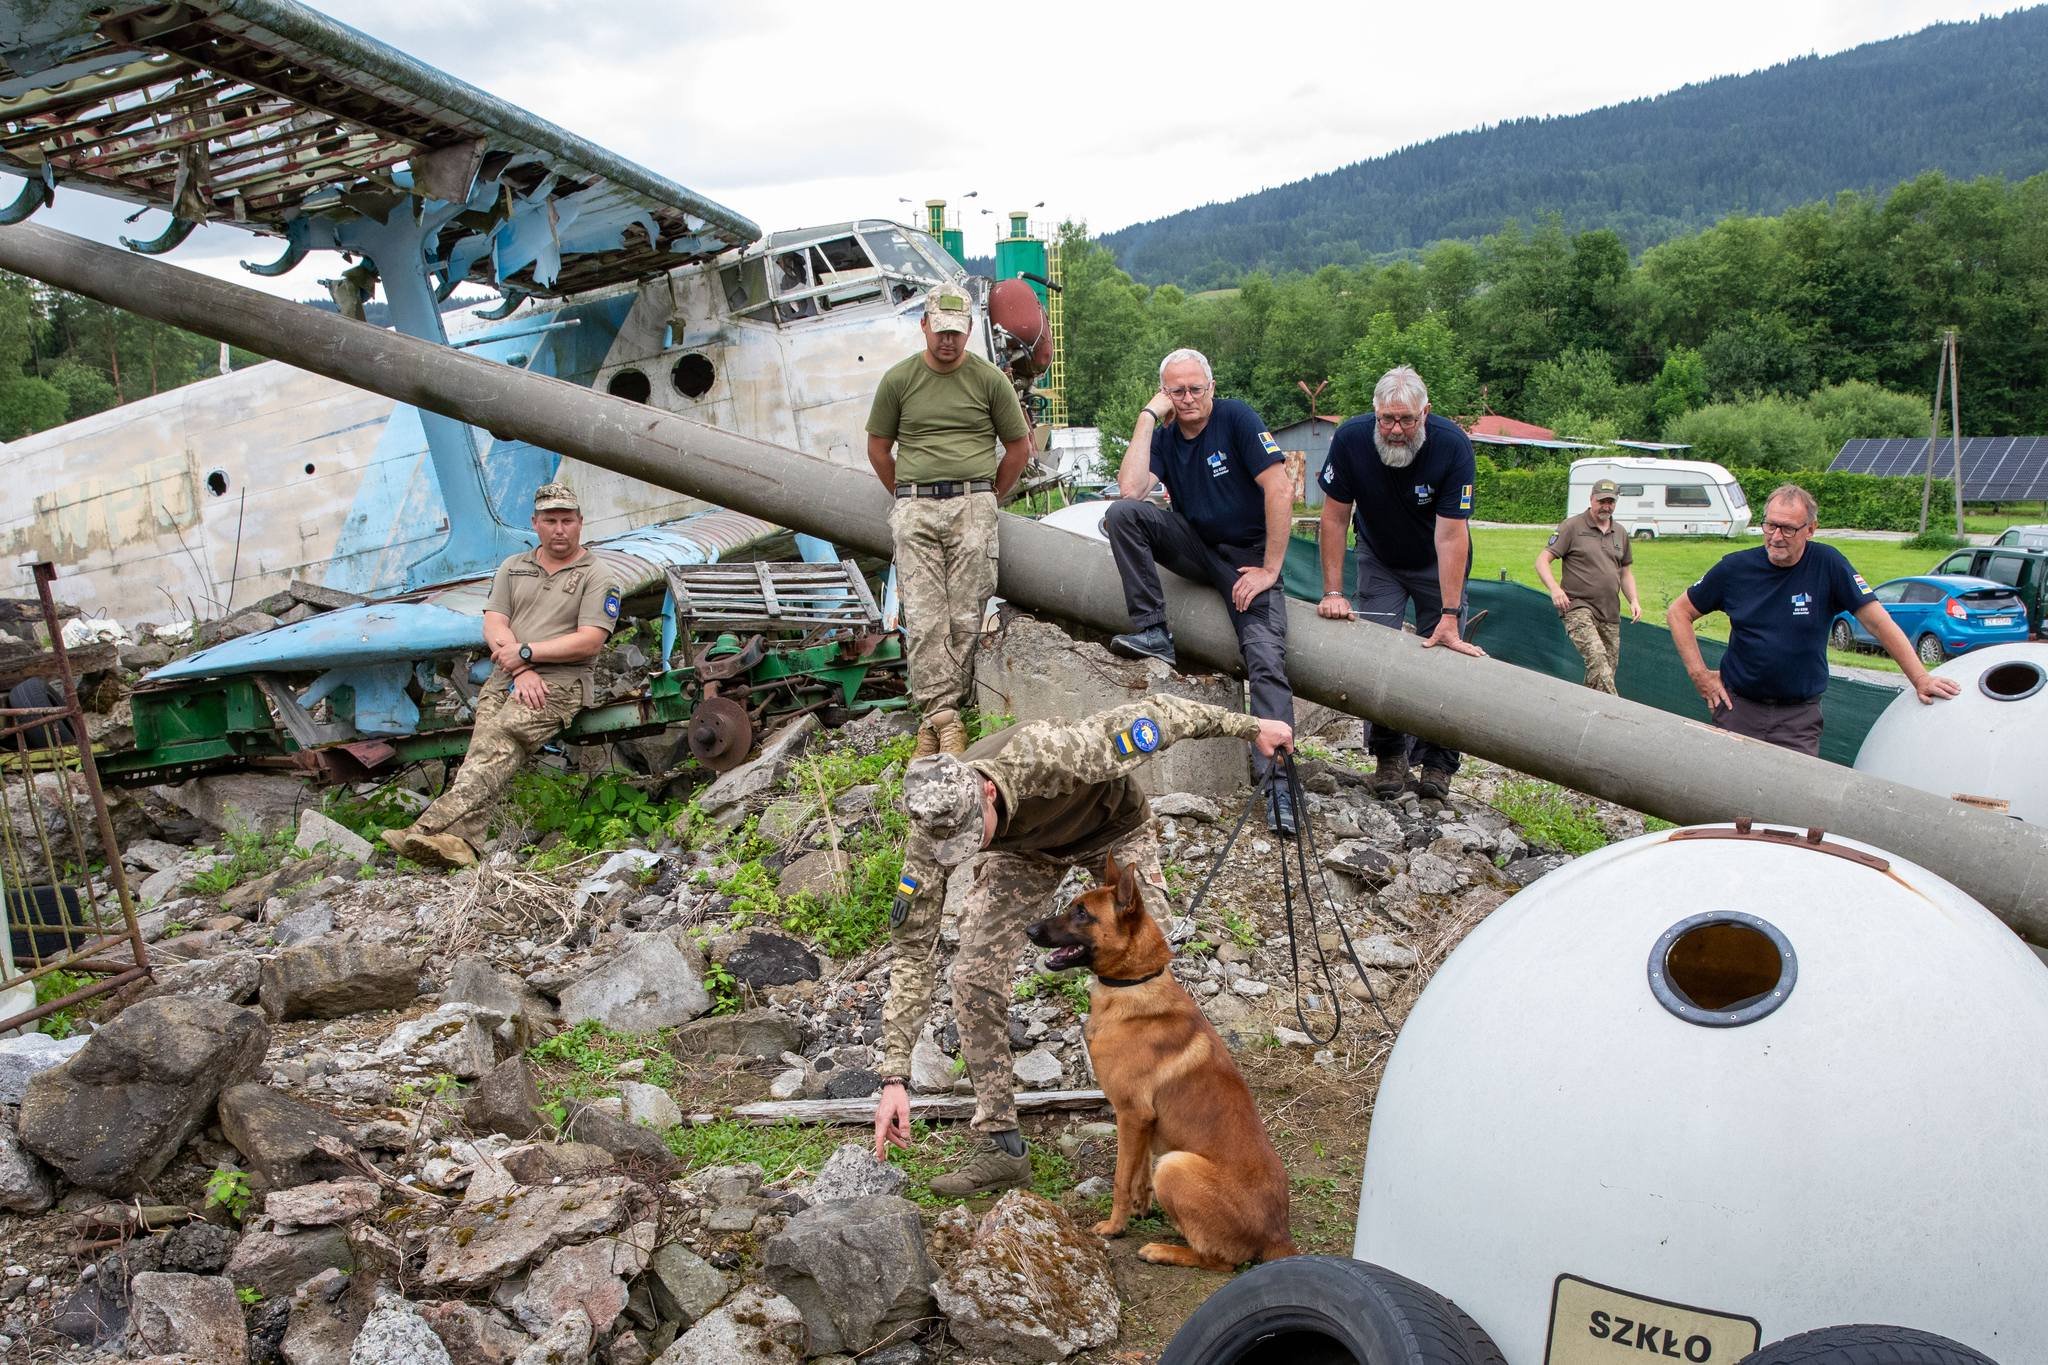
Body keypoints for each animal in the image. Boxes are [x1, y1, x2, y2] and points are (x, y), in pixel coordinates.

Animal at [1024, 855, 1294, 1268]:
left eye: (1082, 913)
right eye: (1072, 905)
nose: (1029, 929)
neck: (1134, 985)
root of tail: (1279, 1236)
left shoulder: (1131, 1114)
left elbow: (1121, 1178)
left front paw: (1115, 1226)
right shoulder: (1146, 1123)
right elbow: (1138, 1174)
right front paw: (1140, 1208)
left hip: (1175, 1166)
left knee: (1221, 1261)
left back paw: (1163, 1250)